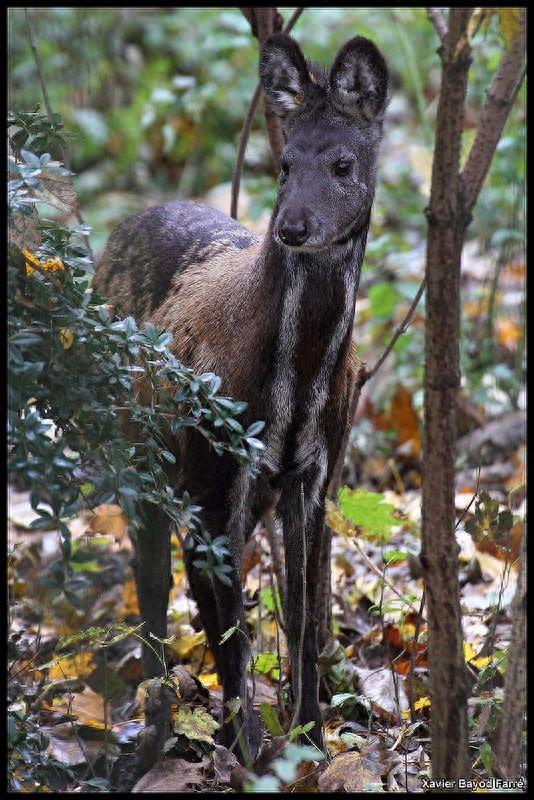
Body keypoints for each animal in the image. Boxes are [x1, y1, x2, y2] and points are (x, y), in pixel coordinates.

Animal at [96, 34, 390, 764]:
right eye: (283, 162)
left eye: (342, 163)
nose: (293, 227)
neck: (294, 389)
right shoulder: (210, 472)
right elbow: (229, 626)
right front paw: (251, 752)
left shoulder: (313, 472)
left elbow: (304, 612)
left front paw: (310, 740)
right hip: (138, 450)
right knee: (152, 585)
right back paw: (155, 730)